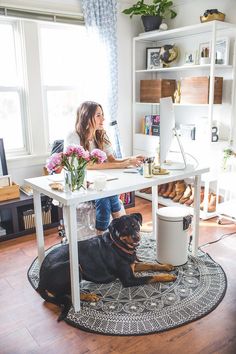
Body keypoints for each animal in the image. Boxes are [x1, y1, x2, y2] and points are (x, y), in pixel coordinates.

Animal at [37, 212, 176, 322]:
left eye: (135, 226)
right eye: (125, 229)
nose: (136, 237)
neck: (118, 244)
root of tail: (40, 280)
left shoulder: (133, 265)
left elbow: (150, 264)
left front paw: (166, 266)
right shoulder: (129, 279)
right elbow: (151, 277)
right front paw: (168, 276)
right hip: (73, 266)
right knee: (69, 294)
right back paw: (89, 296)